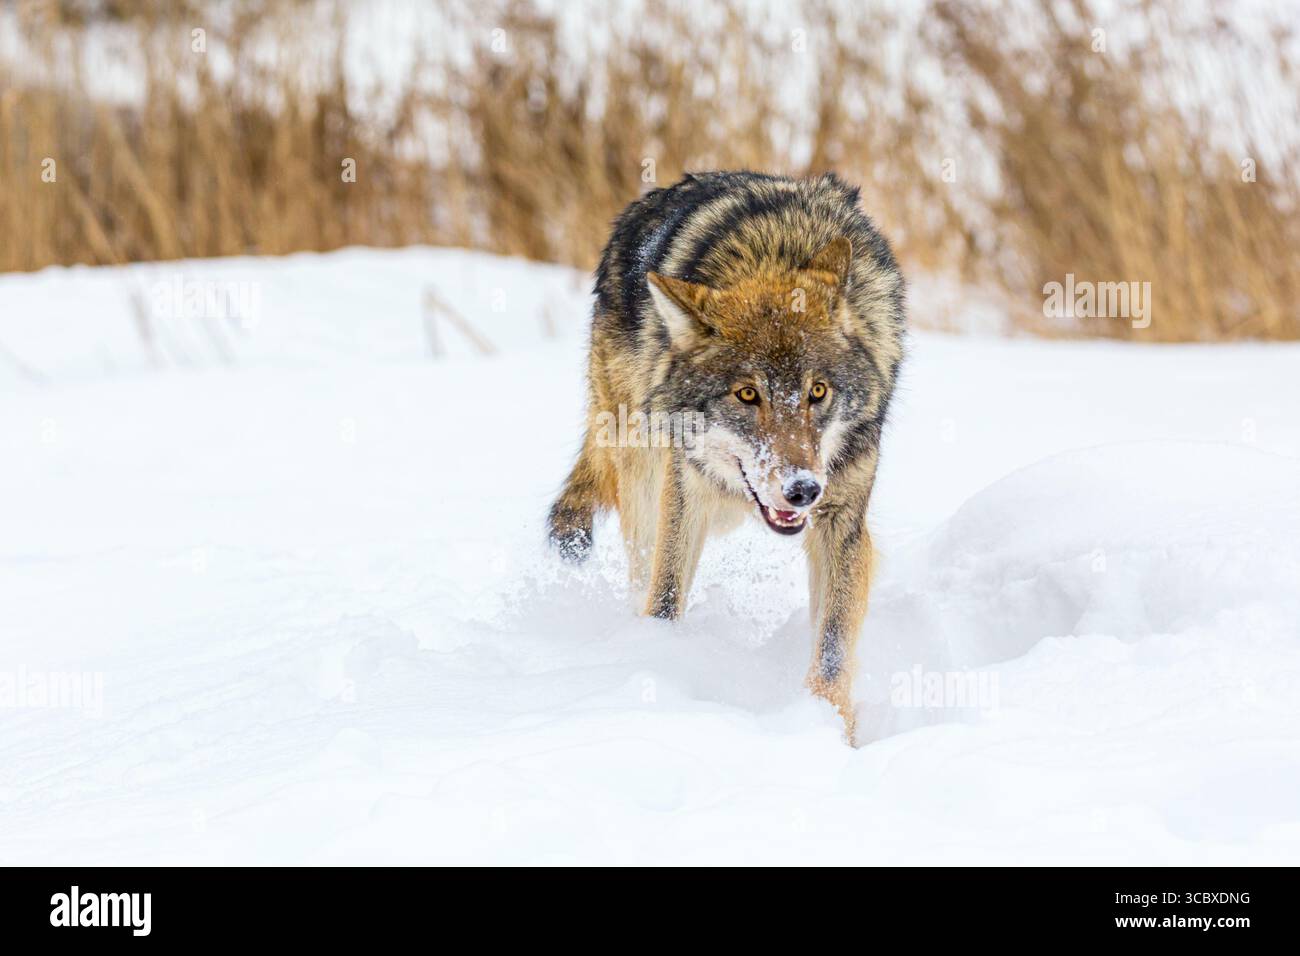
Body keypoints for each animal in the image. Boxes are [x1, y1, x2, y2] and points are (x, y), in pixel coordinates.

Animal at [548, 171, 905, 738]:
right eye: (747, 394)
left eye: (818, 392)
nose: (803, 490)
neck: (777, 249)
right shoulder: (686, 495)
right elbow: (664, 597)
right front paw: (659, 663)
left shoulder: (842, 520)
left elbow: (831, 648)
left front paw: (827, 729)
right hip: (645, 473)